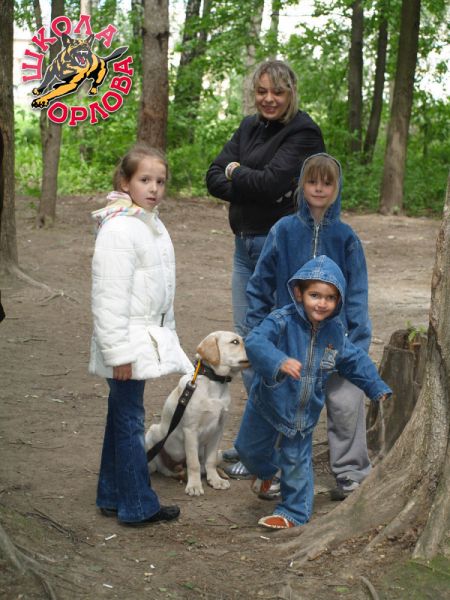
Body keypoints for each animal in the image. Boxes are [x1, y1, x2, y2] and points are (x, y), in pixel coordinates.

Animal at [145, 331, 249, 496]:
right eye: (235, 342)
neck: (214, 383)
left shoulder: (218, 430)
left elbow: (210, 461)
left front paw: (215, 480)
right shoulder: (191, 430)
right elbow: (193, 462)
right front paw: (194, 486)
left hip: (218, 452)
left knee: (204, 465)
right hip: (152, 433)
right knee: (164, 468)